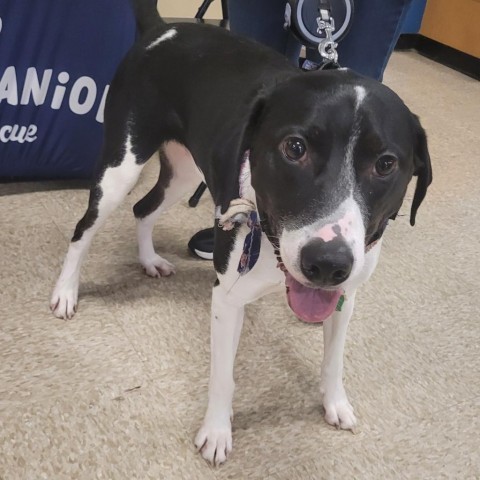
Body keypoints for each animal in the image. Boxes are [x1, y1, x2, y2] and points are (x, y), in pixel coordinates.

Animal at [50, 0, 434, 464]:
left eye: (386, 164)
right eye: (295, 148)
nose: (326, 264)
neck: (270, 239)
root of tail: (162, 29)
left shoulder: (344, 297)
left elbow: (334, 359)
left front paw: (335, 402)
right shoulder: (227, 300)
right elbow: (223, 377)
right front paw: (217, 432)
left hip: (185, 171)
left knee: (144, 209)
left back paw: (149, 260)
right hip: (120, 168)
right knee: (84, 229)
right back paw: (66, 292)